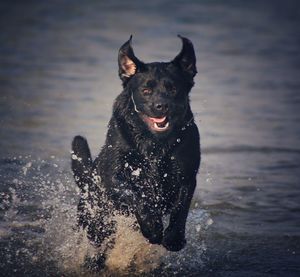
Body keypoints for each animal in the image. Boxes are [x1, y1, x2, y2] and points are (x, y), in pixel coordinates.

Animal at [71, 35, 200, 264]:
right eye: (146, 91)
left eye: (173, 89)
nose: (161, 106)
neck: (155, 144)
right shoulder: (114, 175)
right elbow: (135, 194)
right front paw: (153, 228)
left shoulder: (187, 175)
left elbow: (181, 207)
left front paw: (174, 238)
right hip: (96, 221)